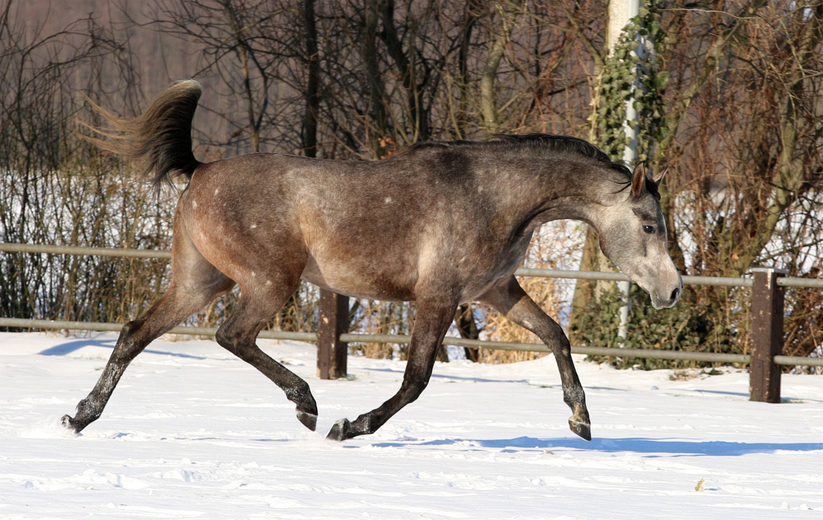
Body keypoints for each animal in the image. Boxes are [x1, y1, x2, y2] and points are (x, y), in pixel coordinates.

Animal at [63, 80, 682, 442]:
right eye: (651, 225)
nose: (673, 292)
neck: (494, 196)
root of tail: (199, 170)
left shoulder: (495, 291)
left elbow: (556, 335)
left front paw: (581, 420)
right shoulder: (439, 297)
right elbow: (416, 379)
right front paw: (352, 426)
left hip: (201, 280)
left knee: (135, 332)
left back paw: (80, 416)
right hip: (268, 281)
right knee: (231, 336)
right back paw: (308, 406)